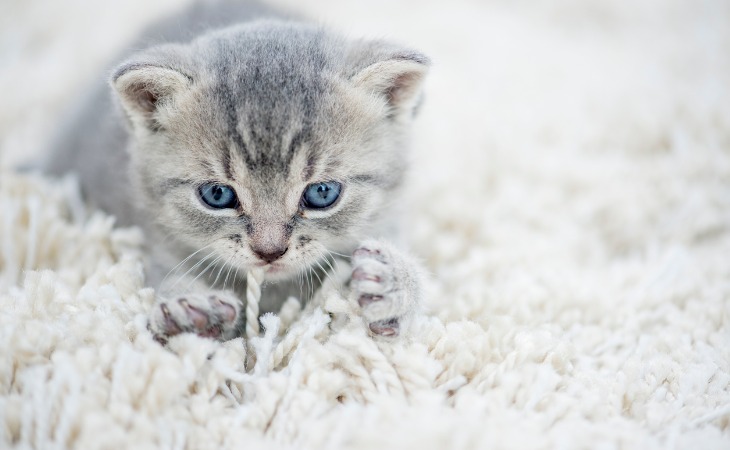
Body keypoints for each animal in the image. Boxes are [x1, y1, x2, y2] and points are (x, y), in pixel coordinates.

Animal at [44, 0, 426, 342]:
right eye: (217, 195)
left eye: (322, 193)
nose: (269, 250)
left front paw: (397, 281)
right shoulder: (157, 240)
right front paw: (187, 305)